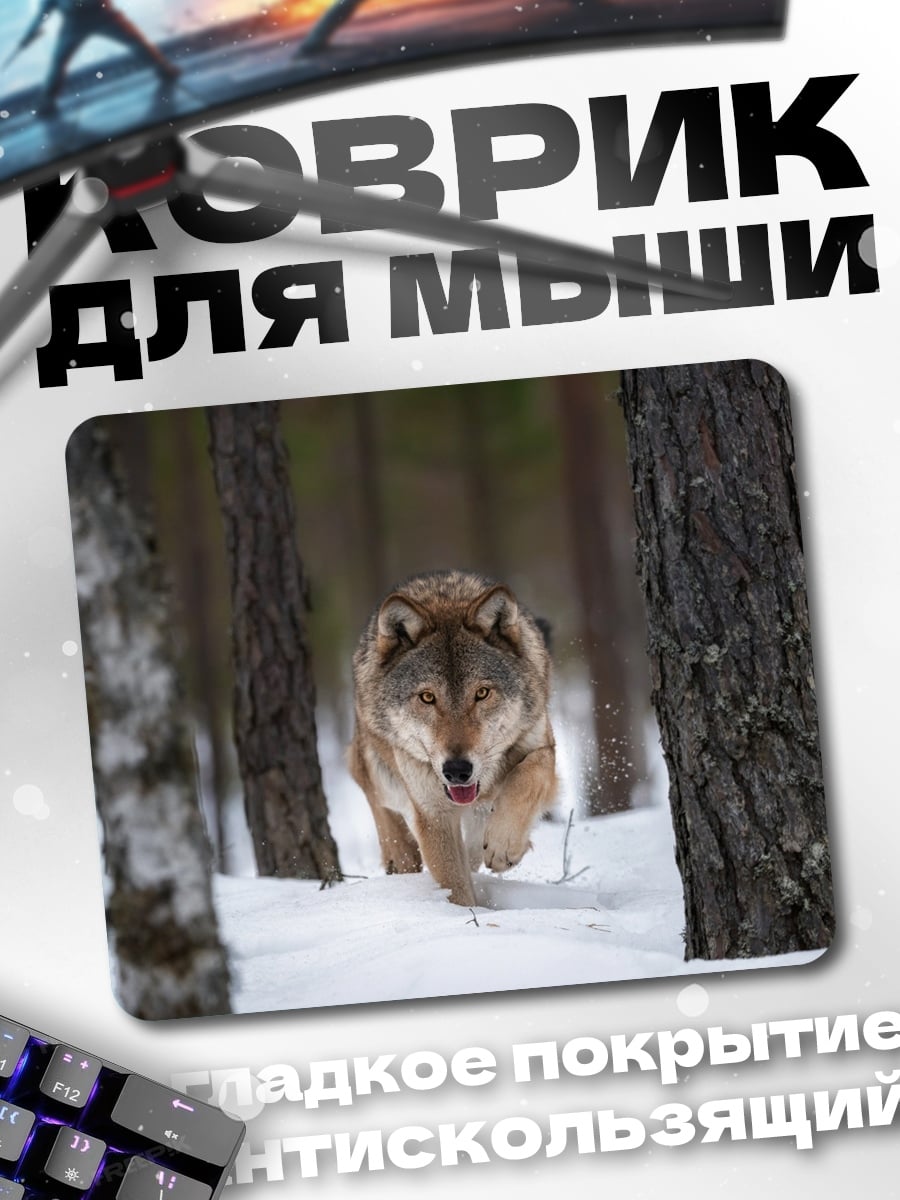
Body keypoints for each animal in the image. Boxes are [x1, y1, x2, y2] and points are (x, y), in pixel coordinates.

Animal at [349, 570, 557, 906]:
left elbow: (529, 775)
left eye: (482, 693)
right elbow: (455, 886)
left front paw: (504, 846)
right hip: (378, 780)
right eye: (427, 697)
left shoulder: (541, 745)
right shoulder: (434, 816)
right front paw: (464, 915)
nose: (457, 771)